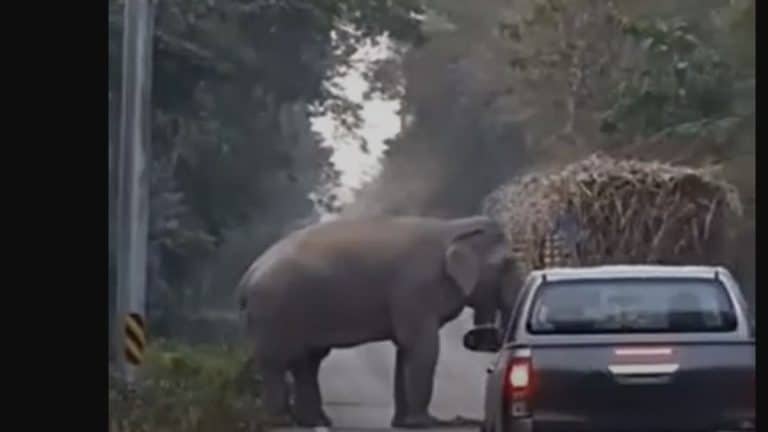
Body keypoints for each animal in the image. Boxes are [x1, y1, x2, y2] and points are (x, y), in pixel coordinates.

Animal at [237, 216, 520, 428]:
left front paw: (405, 423)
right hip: (274, 312)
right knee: (278, 363)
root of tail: (247, 276)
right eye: (508, 264)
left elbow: (405, 350)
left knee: (307, 362)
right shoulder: (415, 290)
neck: (454, 227)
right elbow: (422, 347)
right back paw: (282, 421)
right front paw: (426, 422)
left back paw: (315, 421)